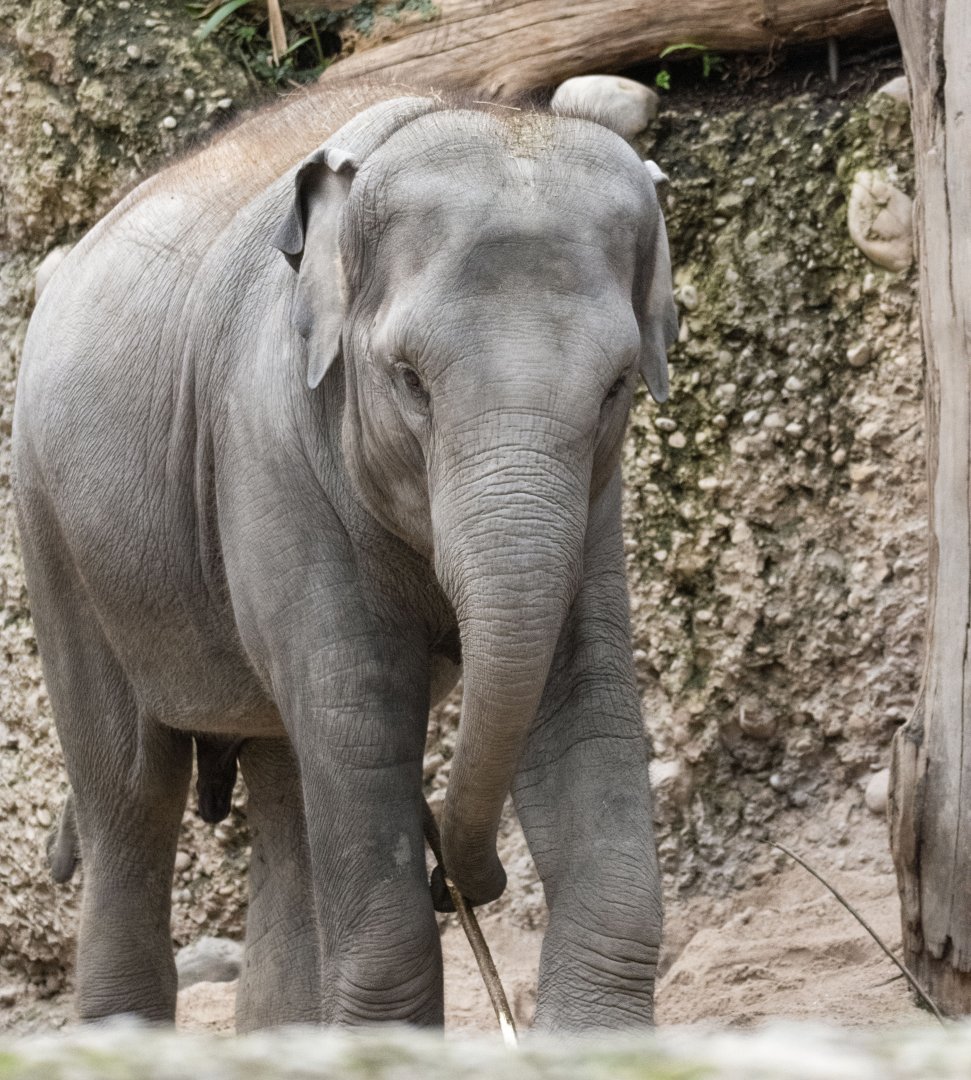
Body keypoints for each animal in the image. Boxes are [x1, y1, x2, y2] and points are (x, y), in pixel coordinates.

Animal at [12, 82, 677, 1032]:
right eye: (409, 379)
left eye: (618, 385)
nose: (461, 882)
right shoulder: (267, 444)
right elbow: (360, 717)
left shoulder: (594, 499)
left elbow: (582, 700)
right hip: (54, 535)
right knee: (132, 799)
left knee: (286, 798)